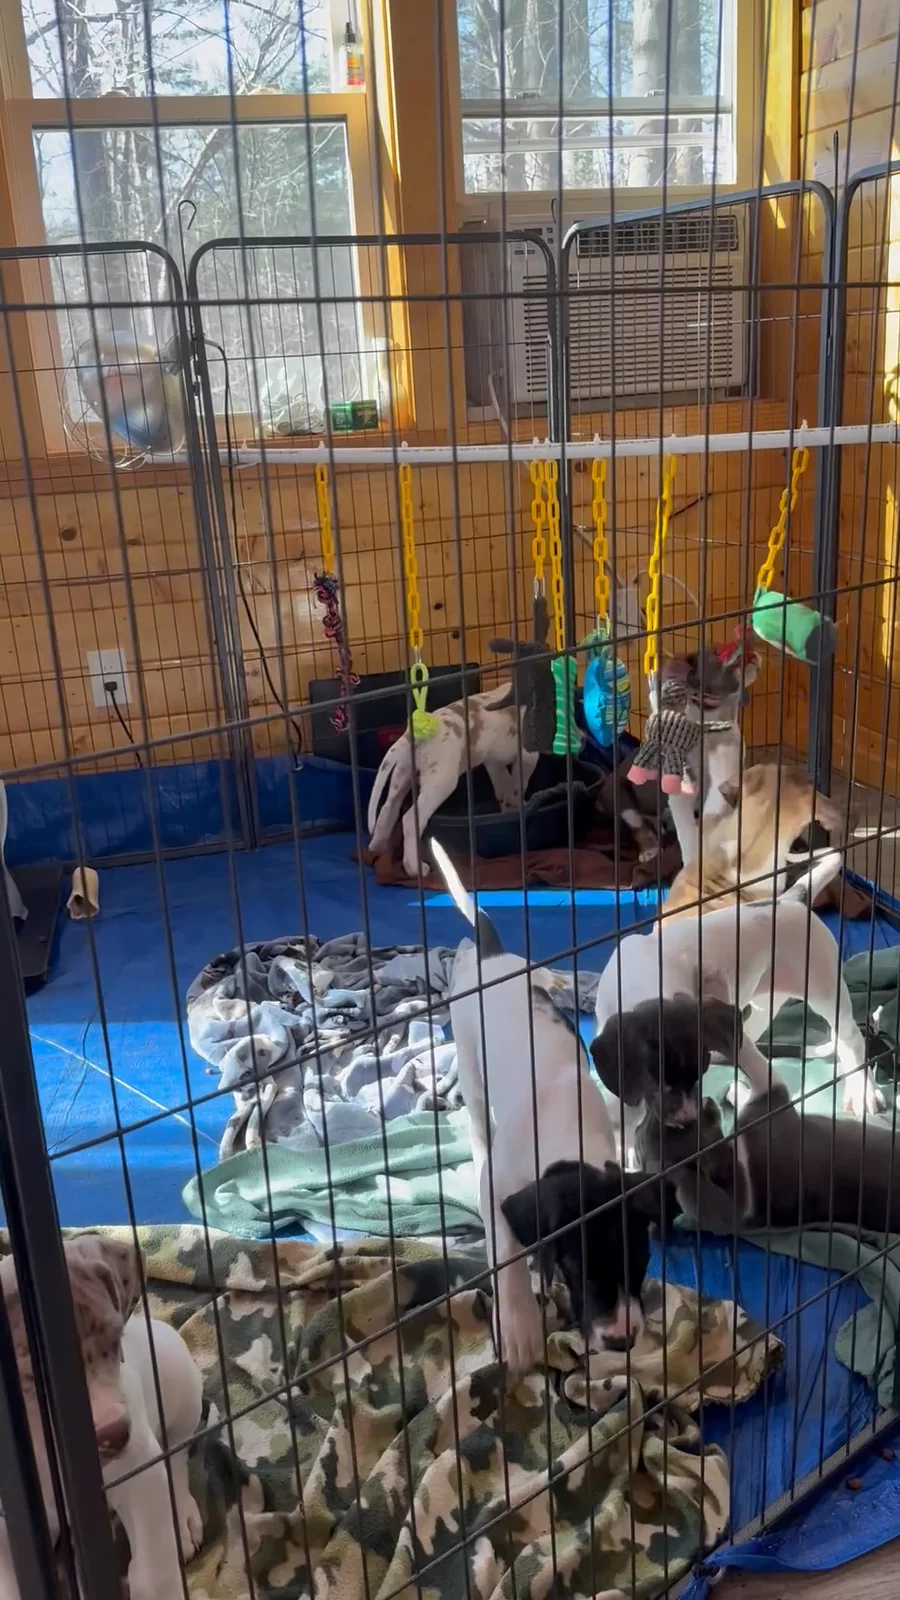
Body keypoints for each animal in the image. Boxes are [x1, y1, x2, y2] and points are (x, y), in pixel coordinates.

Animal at [0, 1236, 202, 1600]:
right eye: (32, 1375)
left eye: (114, 1339)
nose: (115, 1433)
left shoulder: (139, 1475)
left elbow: (153, 1573)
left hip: (179, 1383)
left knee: (176, 1457)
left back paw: (181, 1519)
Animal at [368, 684, 538, 877]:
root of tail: (415, 735)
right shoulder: (527, 756)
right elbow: (517, 786)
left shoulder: (493, 761)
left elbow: (505, 788)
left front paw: (508, 810)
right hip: (441, 782)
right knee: (410, 820)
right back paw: (415, 868)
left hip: (402, 776)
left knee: (388, 809)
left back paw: (378, 847)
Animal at [431, 838, 660, 1375]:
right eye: (581, 1267)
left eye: (640, 1260)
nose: (622, 1339)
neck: (568, 1143)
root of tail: (491, 955)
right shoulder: (502, 1190)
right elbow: (507, 1255)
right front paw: (518, 1327)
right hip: (470, 1065)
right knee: (477, 1123)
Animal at [592, 896, 880, 1148]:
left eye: (698, 1074)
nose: (687, 1119)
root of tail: (791, 899)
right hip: (766, 1004)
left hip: (823, 987)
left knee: (850, 1039)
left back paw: (863, 1091)